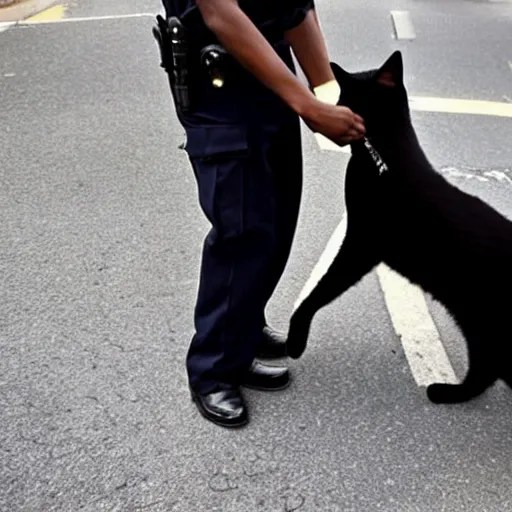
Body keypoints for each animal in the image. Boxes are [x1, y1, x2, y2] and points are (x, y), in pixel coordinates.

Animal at [286, 51, 512, 404]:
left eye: (348, 99)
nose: (336, 110)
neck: (386, 154)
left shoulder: (360, 243)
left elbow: (321, 289)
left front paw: (295, 336)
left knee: (490, 366)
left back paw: (446, 392)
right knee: (488, 367)